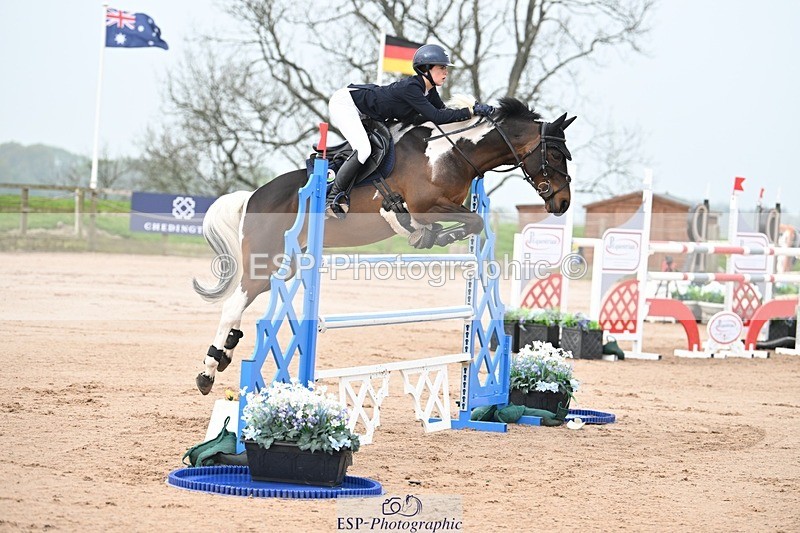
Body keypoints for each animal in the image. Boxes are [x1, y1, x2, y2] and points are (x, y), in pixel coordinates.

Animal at [191, 96, 575, 394]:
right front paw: (420, 232)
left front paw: (426, 235)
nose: (563, 203)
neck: (451, 153)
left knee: (244, 302)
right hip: (266, 260)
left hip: (284, 265)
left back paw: (225, 353)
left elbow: (469, 224)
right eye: (556, 155)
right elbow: (469, 222)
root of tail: (253, 196)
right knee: (233, 304)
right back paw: (207, 371)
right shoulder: (425, 205)